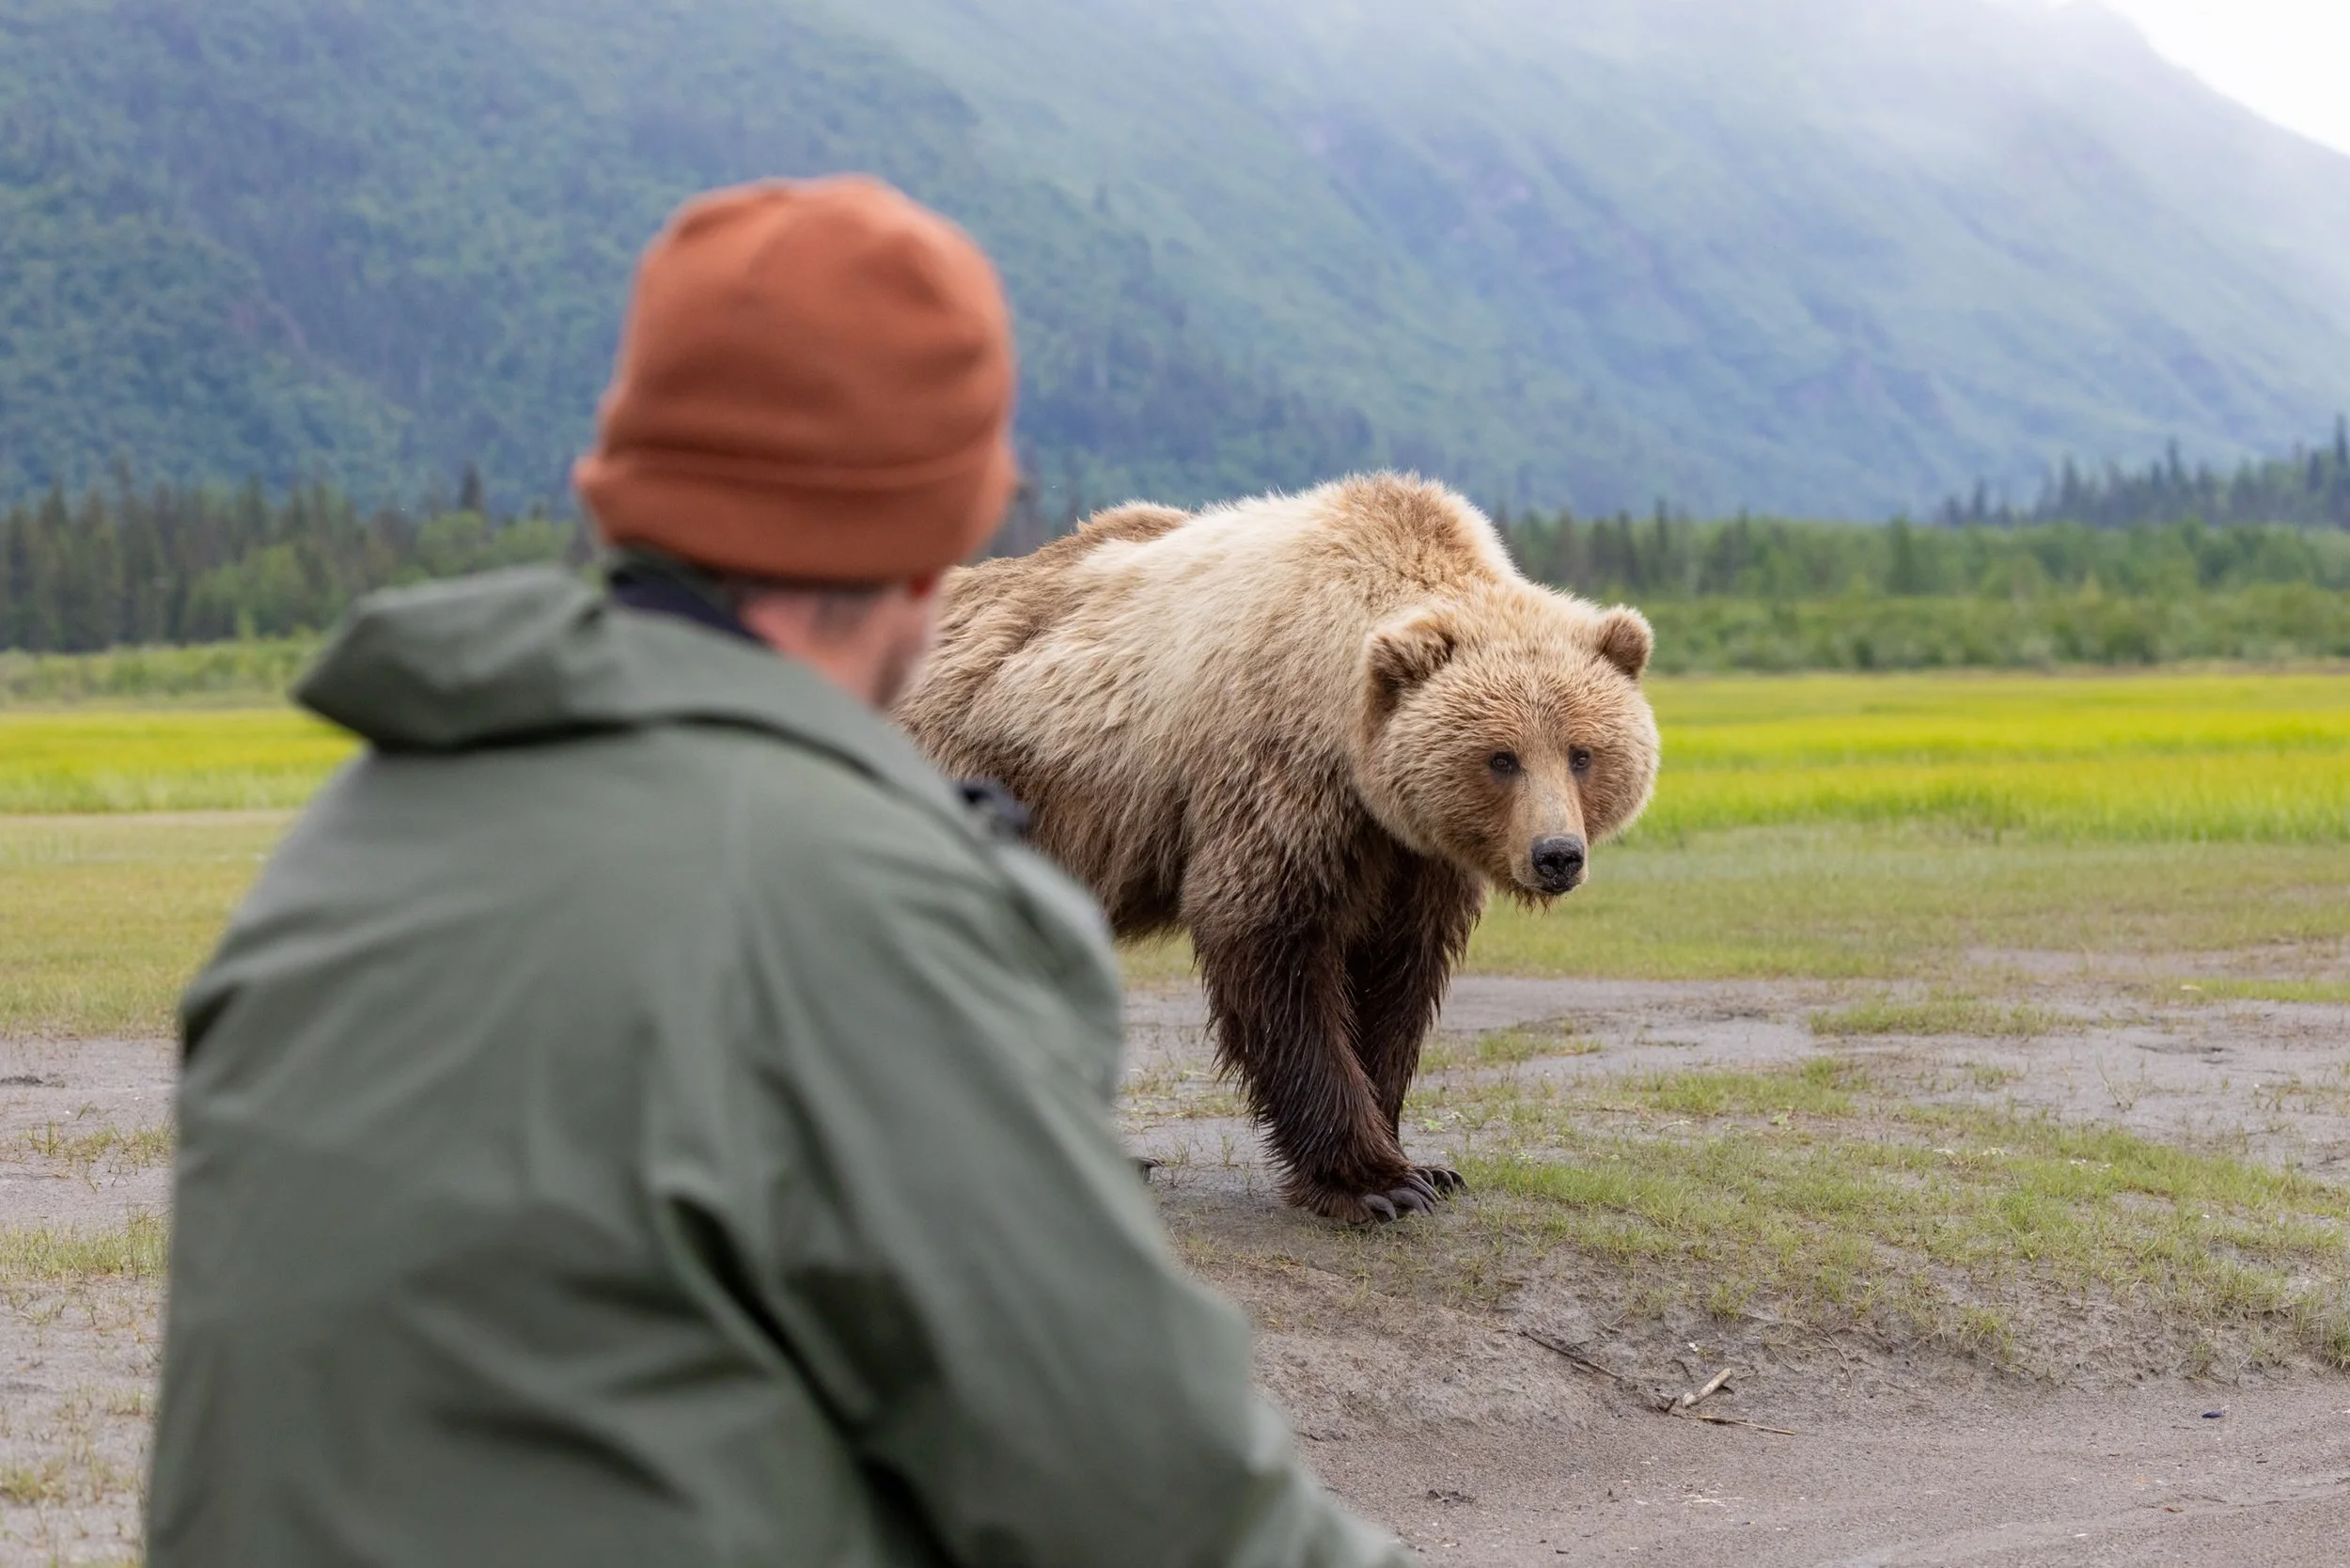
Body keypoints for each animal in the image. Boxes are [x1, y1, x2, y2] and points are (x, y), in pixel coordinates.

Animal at [896, 474, 1660, 1223]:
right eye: (1501, 758)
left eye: (1582, 752)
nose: (1557, 854)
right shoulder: (1281, 779)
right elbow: (1272, 943)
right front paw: (1373, 1183)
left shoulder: (1412, 853)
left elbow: (1397, 975)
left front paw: (1424, 1164)